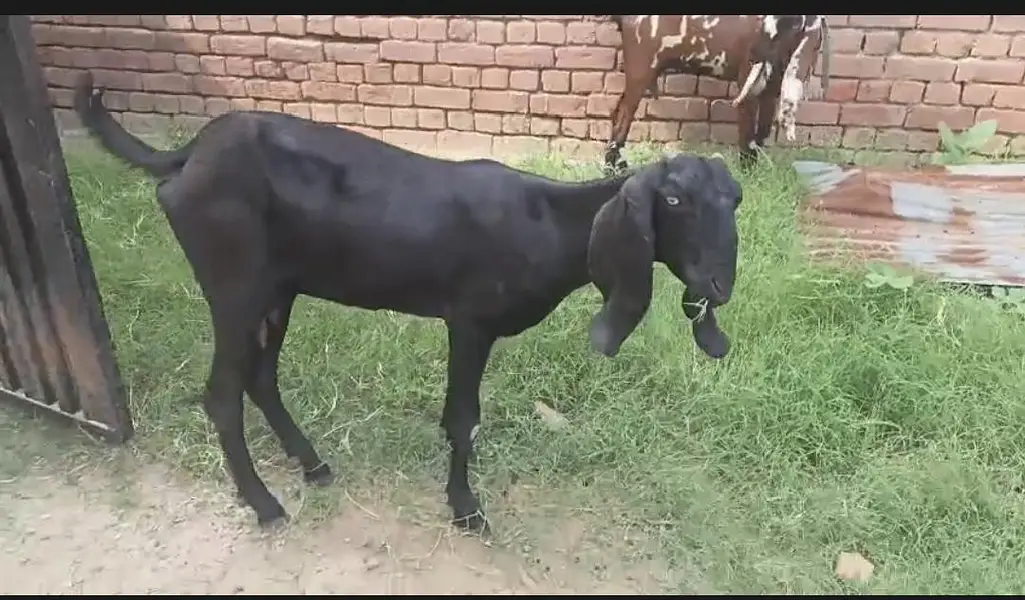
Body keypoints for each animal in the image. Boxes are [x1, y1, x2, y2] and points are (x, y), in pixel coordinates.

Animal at [73, 71, 742, 533]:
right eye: (674, 201)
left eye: (733, 199)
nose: (718, 285)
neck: (546, 221)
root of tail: (190, 155)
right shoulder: (469, 321)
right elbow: (463, 418)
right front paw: (466, 508)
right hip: (233, 284)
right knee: (222, 394)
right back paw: (265, 503)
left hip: (278, 289)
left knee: (261, 378)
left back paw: (312, 465)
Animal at [602, 15, 831, 173]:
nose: (755, 53)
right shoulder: (747, 83)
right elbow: (747, 133)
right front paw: (747, 172)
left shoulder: (770, 89)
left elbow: (762, 133)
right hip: (640, 70)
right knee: (622, 118)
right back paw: (612, 169)